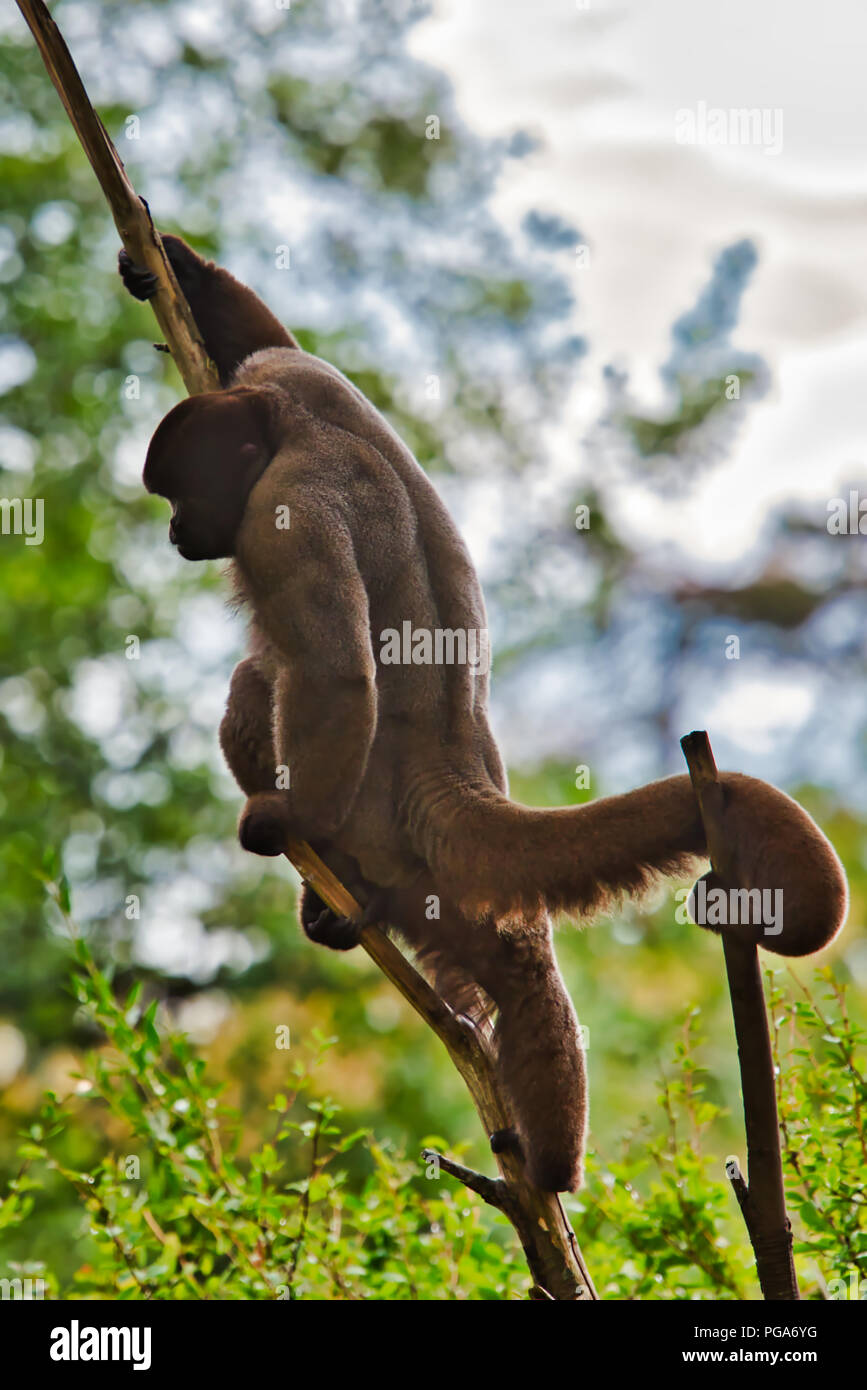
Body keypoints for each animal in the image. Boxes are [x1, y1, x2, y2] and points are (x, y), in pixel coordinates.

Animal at [120, 235, 848, 1193]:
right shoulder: (297, 378)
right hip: (447, 882)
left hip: (376, 823)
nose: (170, 533)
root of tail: (449, 775)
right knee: (521, 971)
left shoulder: (282, 513)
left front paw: (289, 818)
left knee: (256, 680)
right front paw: (166, 262)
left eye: (179, 497)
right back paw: (548, 1176)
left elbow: (336, 673)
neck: (290, 428)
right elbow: (272, 339)